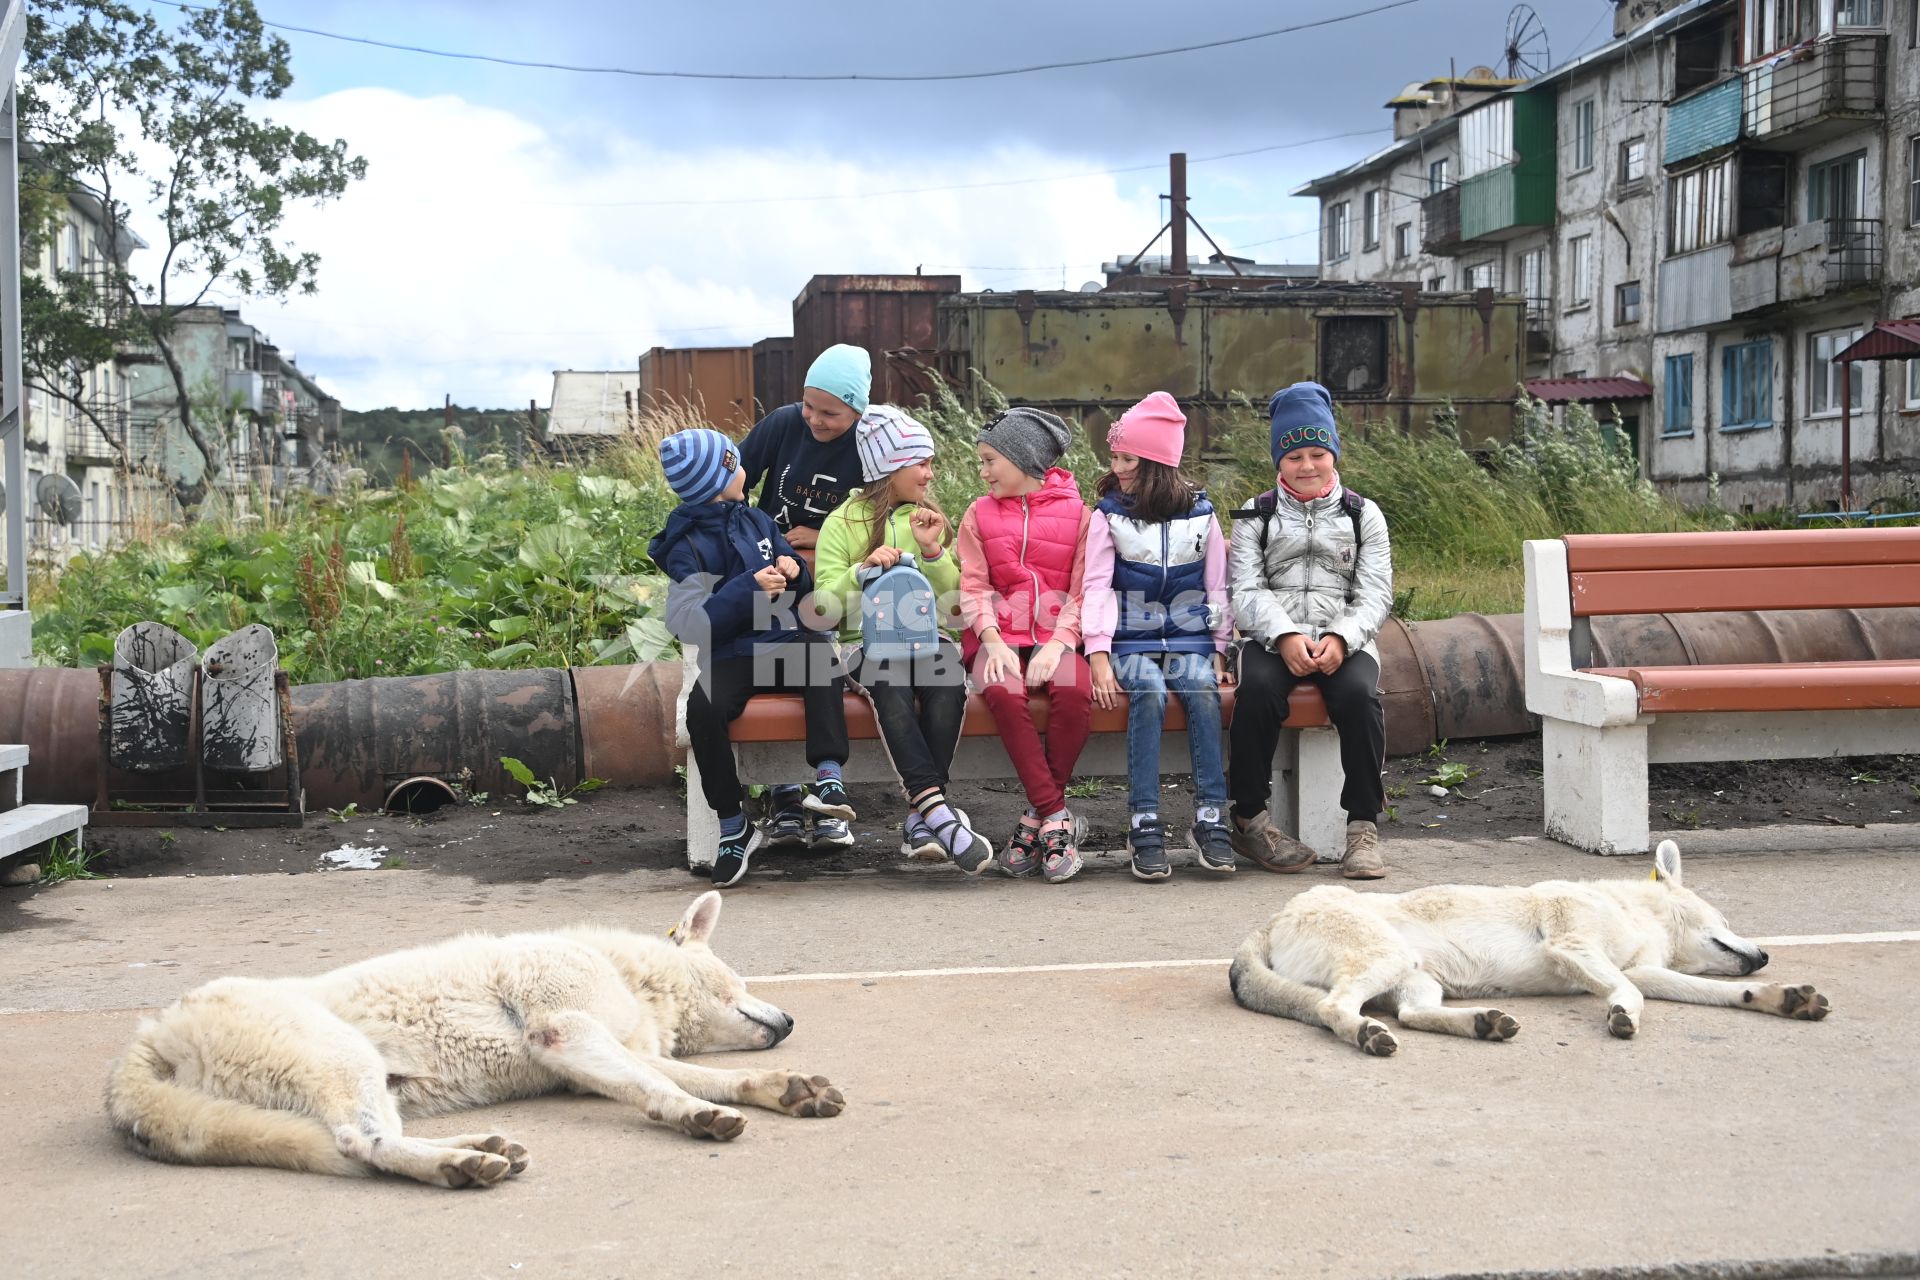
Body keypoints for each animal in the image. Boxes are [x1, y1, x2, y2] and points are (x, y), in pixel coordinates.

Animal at [105, 898, 840, 1189]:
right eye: (739, 980)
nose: (790, 1021)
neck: (627, 975)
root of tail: (140, 1045)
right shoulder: (566, 1032)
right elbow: (660, 1086)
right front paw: (695, 1117)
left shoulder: (587, 1057)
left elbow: (697, 1077)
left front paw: (784, 1090)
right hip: (347, 1057)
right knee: (362, 1145)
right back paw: (459, 1167)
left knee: (363, 1143)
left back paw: (481, 1150)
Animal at [1228, 836, 1827, 1059]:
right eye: (1725, 918)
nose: (1766, 955)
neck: (1632, 913)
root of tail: (1270, 921)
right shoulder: (1574, 945)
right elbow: (1629, 995)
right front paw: (1621, 1017)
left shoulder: (1643, 970)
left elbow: (1714, 991)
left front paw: (1781, 996)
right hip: (1385, 960)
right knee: (1337, 1009)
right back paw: (1366, 1036)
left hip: (1416, 979)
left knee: (1413, 1016)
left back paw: (1483, 1024)